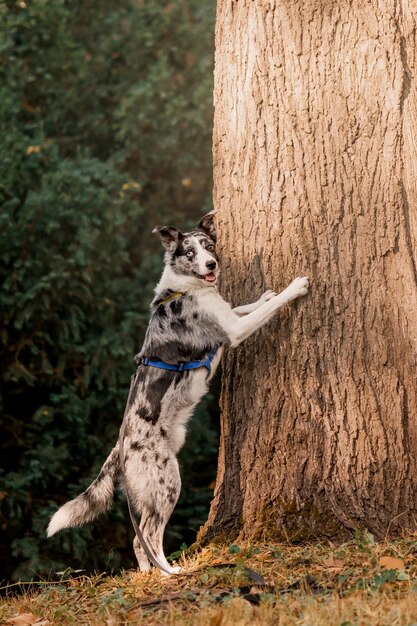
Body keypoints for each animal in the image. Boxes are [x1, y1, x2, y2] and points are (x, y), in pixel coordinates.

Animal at [48, 212, 308, 572]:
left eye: (209, 245)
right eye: (188, 253)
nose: (212, 264)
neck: (184, 290)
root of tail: (121, 446)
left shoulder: (228, 315)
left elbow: (243, 305)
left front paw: (264, 296)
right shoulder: (234, 331)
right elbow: (259, 312)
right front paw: (293, 288)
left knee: (138, 540)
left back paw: (150, 576)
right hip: (168, 482)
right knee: (149, 533)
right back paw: (172, 572)